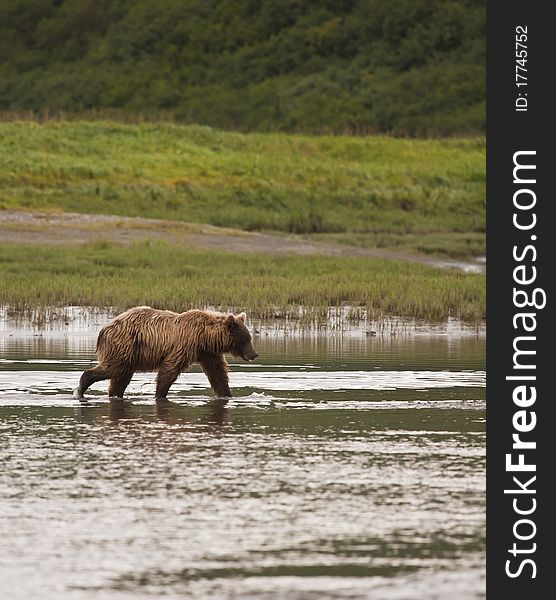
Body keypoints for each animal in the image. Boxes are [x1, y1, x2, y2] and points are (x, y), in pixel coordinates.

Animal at [71, 308, 258, 400]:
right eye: (246, 339)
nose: (254, 354)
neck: (205, 336)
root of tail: (103, 329)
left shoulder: (207, 353)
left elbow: (217, 374)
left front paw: (227, 394)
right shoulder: (186, 344)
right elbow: (170, 368)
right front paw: (160, 394)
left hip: (129, 353)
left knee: (120, 377)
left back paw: (114, 394)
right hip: (123, 345)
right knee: (113, 368)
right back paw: (81, 388)